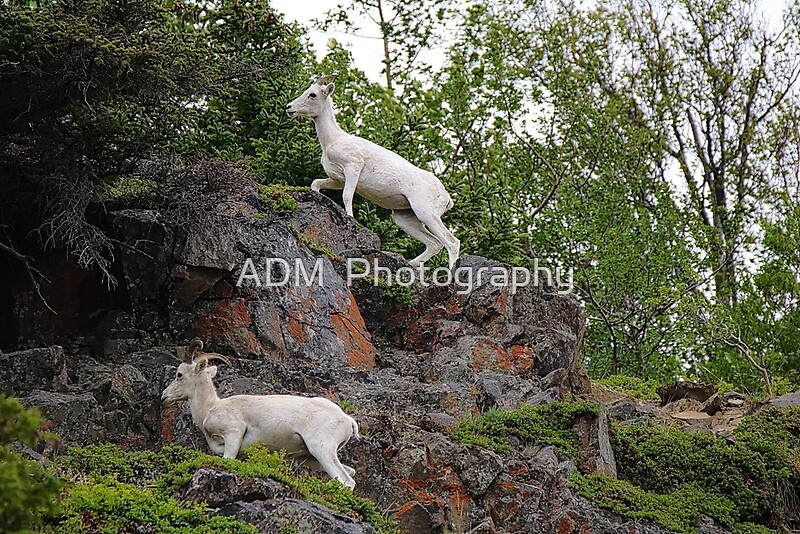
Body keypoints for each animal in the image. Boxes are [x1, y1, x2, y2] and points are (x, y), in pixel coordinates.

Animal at [161, 340, 359, 489]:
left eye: (179, 374)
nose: (164, 396)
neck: (211, 408)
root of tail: (347, 420)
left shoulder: (233, 434)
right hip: (310, 458)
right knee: (349, 473)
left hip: (322, 449)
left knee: (346, 481)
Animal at [286, 75, 461, 269]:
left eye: (313, 94)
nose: (289, 108)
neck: (332, 141)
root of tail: (447, 198)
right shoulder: (337, 179)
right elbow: (316, 184)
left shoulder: (353, 167)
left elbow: (347, 196)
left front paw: (350, 220)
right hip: (405, 218)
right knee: (434, 243)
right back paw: (412, 263)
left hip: (426, 213)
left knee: (451, 242)